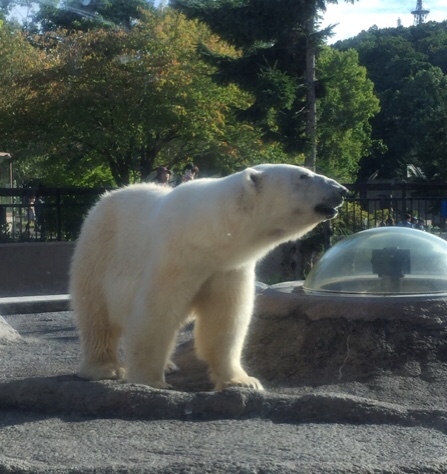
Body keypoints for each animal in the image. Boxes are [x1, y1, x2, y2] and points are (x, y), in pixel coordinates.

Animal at [71, 165, 350, 390]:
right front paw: (150, 380)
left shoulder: (227, 267)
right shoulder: (175, 258)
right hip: (98, 251)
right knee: (96, 315)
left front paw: (243, 381)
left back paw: (169, 364)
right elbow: (155, 314)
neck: (208, 234)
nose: (342, 190)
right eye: (303, 175)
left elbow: (225, 320)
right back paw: (105, 368)